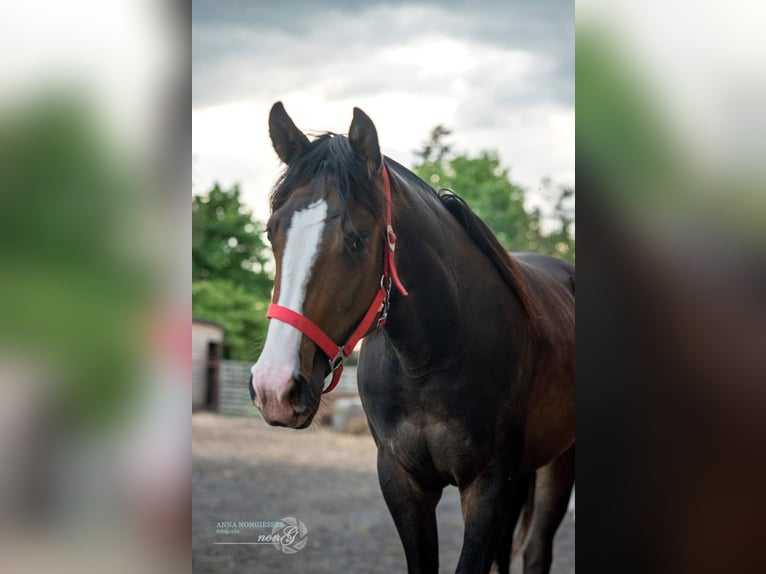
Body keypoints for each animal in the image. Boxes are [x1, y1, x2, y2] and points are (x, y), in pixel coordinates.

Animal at [252, 103, 576, 574]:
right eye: (271, 232)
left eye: (357, 240)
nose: (274, 387)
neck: (429, 359)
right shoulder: (402, 482)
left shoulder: (488, 486)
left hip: (560, 461)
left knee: (537, 551)